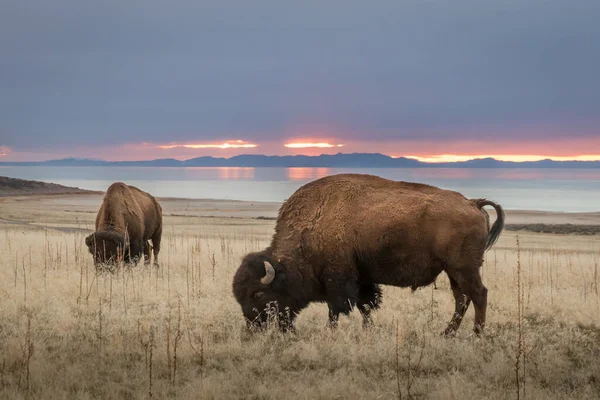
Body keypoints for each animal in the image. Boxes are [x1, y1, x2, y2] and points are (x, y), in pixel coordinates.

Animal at [232, 174, 504, 334]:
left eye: (258, 293)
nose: (253, 327)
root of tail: (472, 203)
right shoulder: (362, 278)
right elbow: (365, 306)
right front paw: (368, 330)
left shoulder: (338, 279)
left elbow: (337, 309)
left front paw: (332, 332)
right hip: (452, 270)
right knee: (462, 298)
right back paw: (447, 334)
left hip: (463, 267)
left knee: (479, 294)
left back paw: (477, 334)